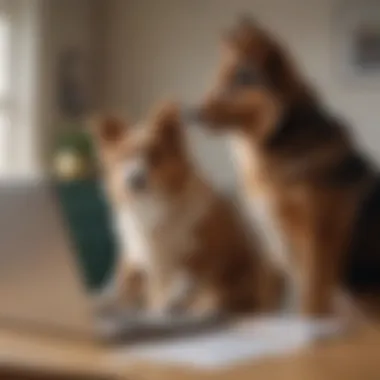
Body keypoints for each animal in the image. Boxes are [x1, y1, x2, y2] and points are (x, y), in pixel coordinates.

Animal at [93, 102, 268, 316]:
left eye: (155, 156)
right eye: (124, 157)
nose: (134, 179)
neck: (154, 206)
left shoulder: (202, 257)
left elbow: (187, 286)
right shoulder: (141, 260)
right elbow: (126, 289)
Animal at [191, 17, 380, 318]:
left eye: (235, 82)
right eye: (218, 79)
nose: (189, 113)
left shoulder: (318, 239)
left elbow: (312, 299)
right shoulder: (272, 239)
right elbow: (270, 295)